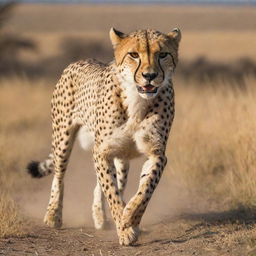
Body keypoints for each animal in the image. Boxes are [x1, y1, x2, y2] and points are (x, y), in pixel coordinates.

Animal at [27, 28, 181, 246]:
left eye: (163, 54)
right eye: (134, 55)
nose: (149, 76)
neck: (136, 100)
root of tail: (78, 61)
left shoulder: (157, 153)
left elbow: (145, 189)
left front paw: (129, 217)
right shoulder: (102, 151)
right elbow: (111, 192)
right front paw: (124, 228)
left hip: (122, 158)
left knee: (111, 183)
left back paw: (101, 217)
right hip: (63, 138)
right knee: (59, 175)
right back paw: (53, 215)